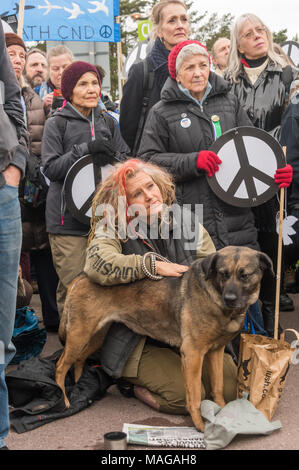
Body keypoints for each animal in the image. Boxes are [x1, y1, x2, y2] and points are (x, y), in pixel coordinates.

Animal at [55, 248, 274, 432]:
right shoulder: (193, 355)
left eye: (244, 275)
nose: (229, 298)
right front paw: (201, 425)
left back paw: (81, 387)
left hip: (95, 337)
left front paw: (222, 412)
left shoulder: (215, 351)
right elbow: (195, 396)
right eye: (223, 274)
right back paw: (64, 400)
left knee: (79, 360)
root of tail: (82, 275)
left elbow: (218, 387)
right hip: (79, 336)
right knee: (60, 366)